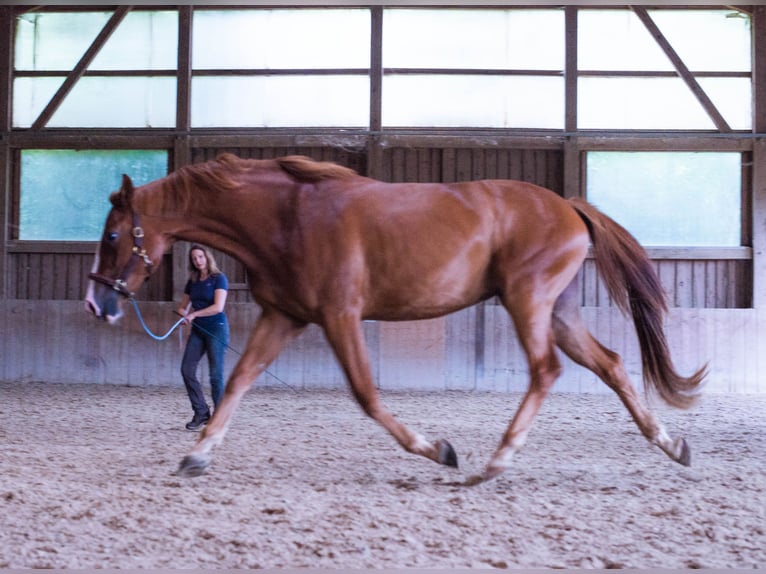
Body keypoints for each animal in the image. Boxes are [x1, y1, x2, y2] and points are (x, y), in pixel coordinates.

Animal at [84, 154, 708, 486]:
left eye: (112, 236)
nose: (97, 304)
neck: (286, 217)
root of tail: (569, 207)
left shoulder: (339, 316)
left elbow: (366, 395)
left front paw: (439, 450)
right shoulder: (284, 316)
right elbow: (237, 381)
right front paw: (197, 454)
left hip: (528, 302)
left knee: (546, 371)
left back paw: (493, 463)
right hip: (558, 312)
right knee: (611, 363)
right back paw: (670, 444)